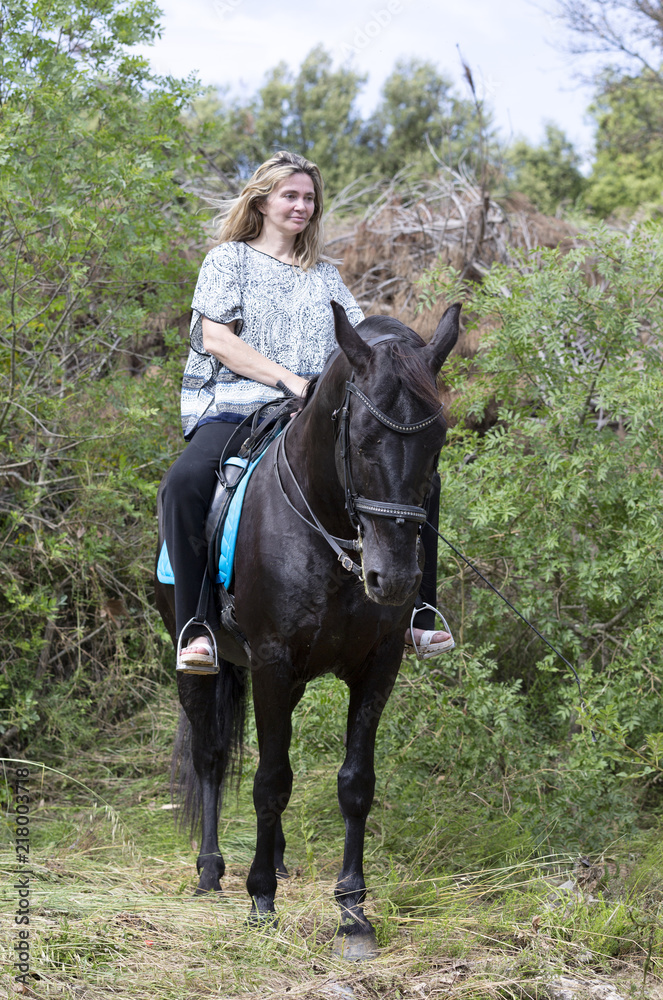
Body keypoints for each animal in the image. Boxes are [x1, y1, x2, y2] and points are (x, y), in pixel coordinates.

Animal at [154, 300, 462, 956]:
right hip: (199, 659)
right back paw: (212, 872)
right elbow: (269, 781)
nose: (393, 579)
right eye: (363, 438)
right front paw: (261, 902)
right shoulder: (273, 663)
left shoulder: (376, 668)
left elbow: (354, 783)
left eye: (437, 439)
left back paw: (277, 859)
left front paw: (353, 912)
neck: (327, 529)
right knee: (212, 754)